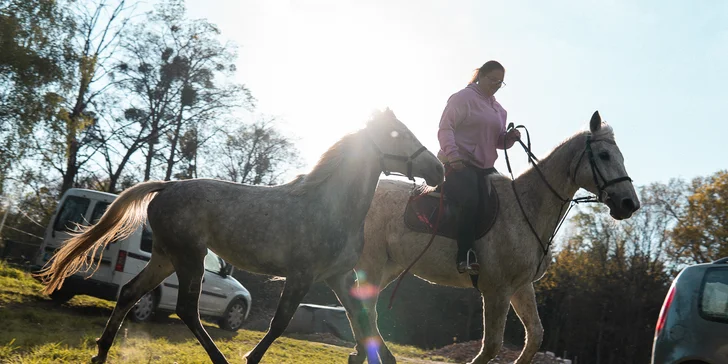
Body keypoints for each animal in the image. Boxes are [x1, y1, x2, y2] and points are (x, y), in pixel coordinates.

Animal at [37, 109, 446, 364]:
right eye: (398, 134)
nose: (438, 169)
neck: (331, 206)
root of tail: (167, 186)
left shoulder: (338, 277)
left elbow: (364, 323)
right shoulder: (301, 275)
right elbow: (279, 324)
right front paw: (250, 358)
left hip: (166, 257)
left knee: (129, 293)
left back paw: (101, 352)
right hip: (190, 258)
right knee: (185, 309)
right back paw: (218, 358)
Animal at [332, 111, 644, 364]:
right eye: (604, 156)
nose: (629, 203)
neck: (527, 208)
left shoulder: (521, 288)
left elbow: (534, 337)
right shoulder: (497, 290)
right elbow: (492, 346)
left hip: (389, 266)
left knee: (358, 303)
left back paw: (361, 352)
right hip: (373, 263)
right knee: (364, 308)